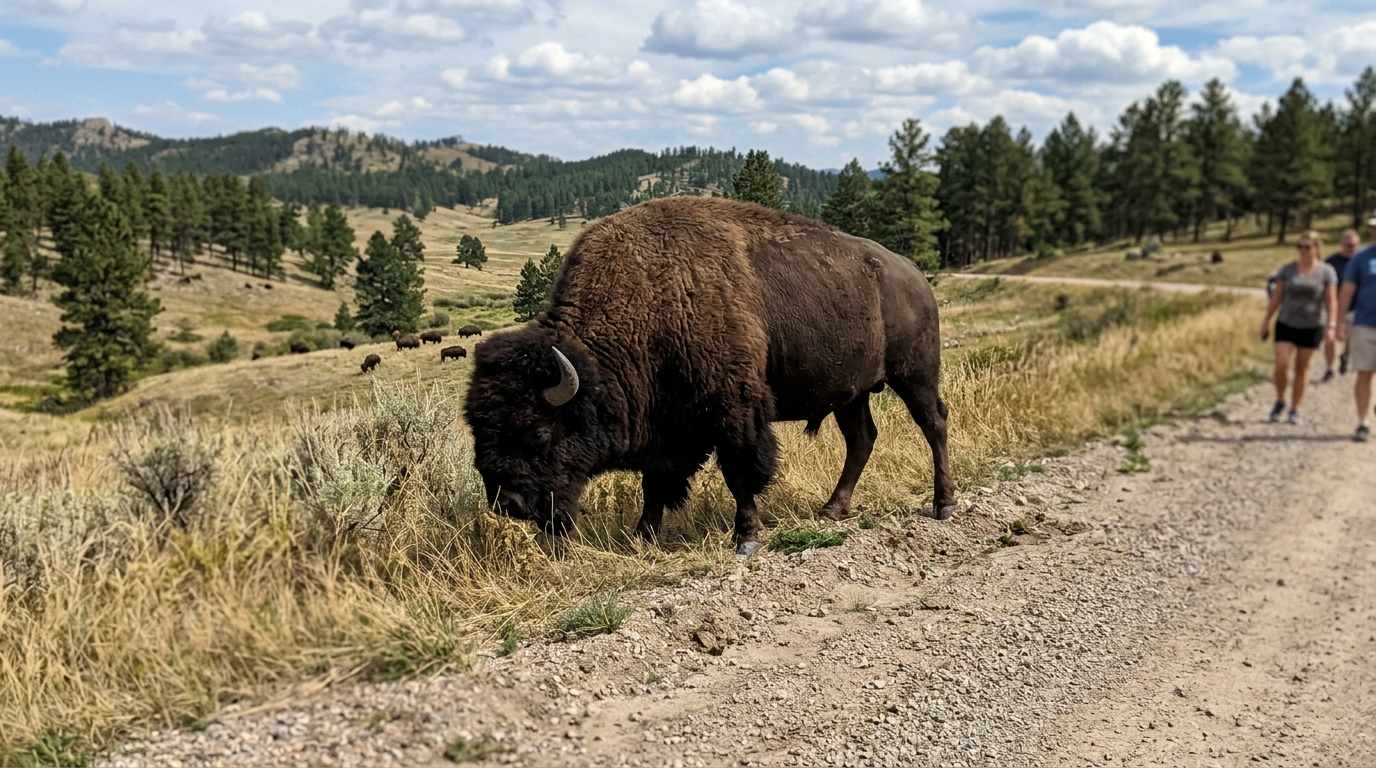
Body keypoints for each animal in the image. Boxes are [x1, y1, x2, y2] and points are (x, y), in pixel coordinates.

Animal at [463, 197, 955, 556]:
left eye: (539, 432)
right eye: (479, 431)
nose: (509, 504)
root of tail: (913, 274)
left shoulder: (734, 412)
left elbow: (740, 473)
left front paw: (747, 538)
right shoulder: (666, 429)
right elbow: (656, 484)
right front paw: (642, 538)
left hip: (915, 374)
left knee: (933, 424)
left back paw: (943, 504)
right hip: (851, 393)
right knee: (862, 440)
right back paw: (832, 510)